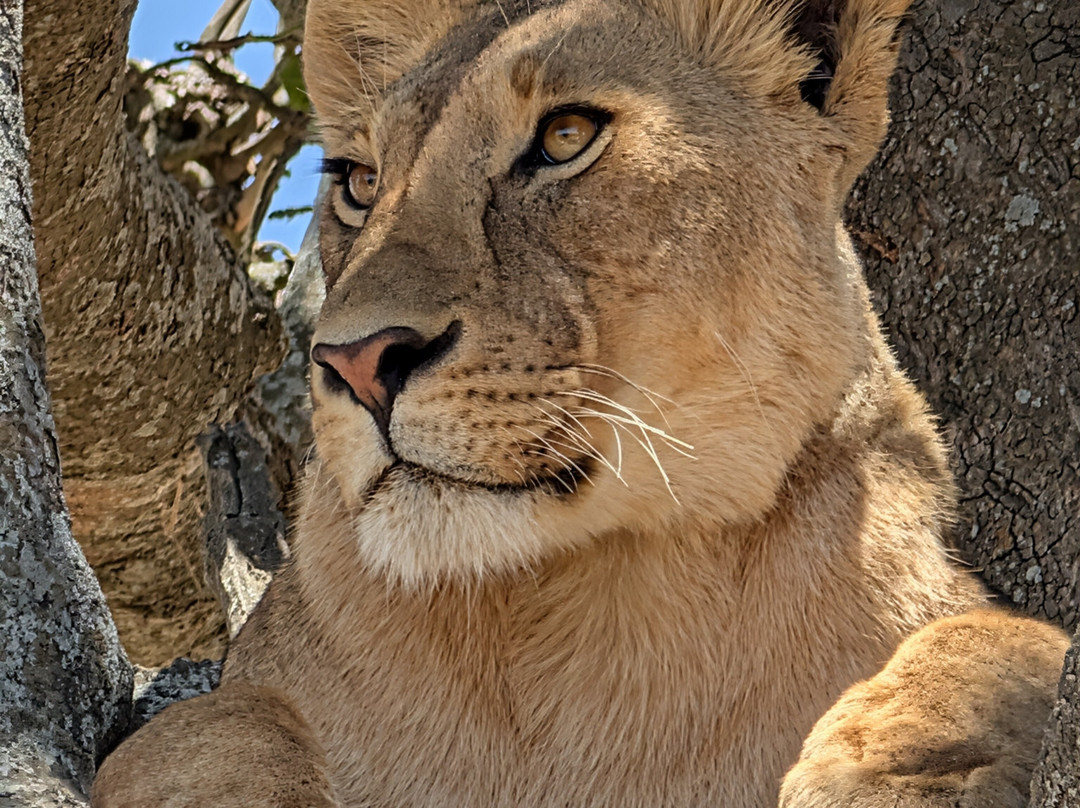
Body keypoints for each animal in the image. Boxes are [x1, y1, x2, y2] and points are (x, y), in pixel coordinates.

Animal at [91, 0, 1069, 805]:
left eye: (565, 137)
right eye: (359, 182)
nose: (355, 361)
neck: (576, 610)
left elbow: (1005, 641)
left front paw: (882, 774)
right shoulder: (229, 706)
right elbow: (218, 730)